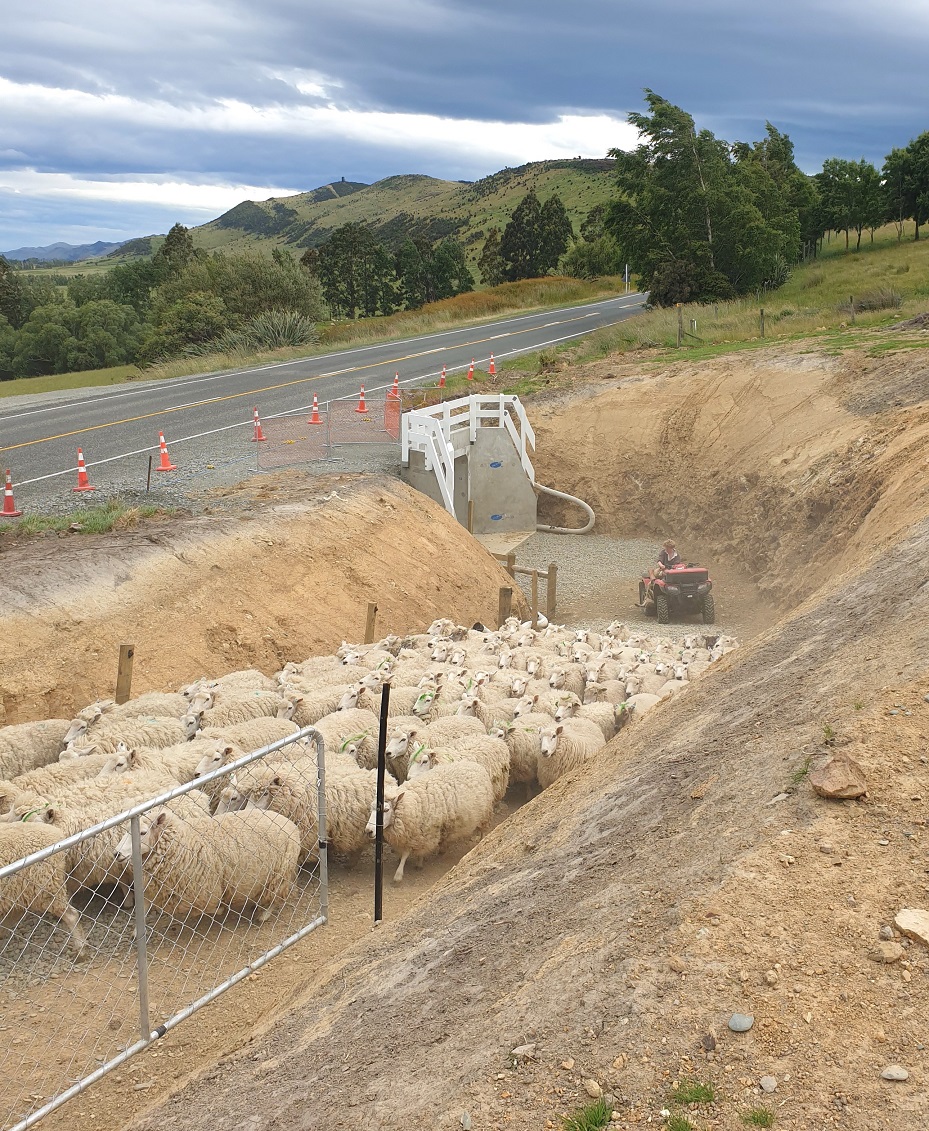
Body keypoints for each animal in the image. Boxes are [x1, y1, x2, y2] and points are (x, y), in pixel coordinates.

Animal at [362, 760, 495, 882]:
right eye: (371, 808)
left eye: (386, 810)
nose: (368, 831)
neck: (412, 802)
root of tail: (475, 765)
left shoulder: (424, 834)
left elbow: (407, 852)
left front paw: (401, 873)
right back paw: (443, 849)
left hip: (485, 814)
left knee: (483, 830)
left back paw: (481, 841)